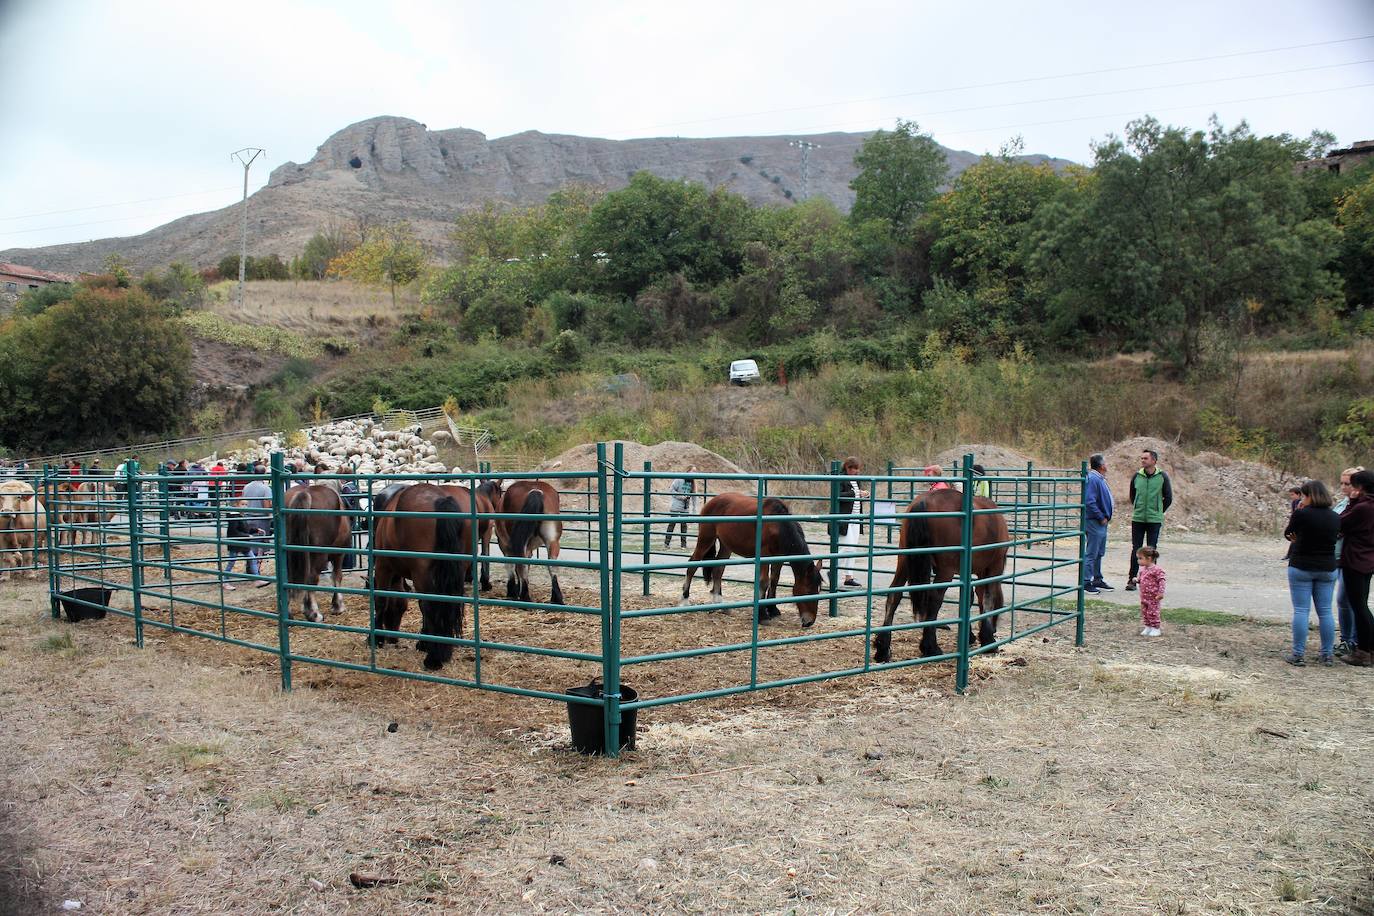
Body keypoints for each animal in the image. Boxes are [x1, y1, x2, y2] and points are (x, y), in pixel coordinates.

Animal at [278, 486, 351, 623]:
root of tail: (304, 493)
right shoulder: (339, 554)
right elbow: (337, 576)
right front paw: (337, 606)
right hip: (318, 555)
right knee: (312, 577)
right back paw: (314, 614)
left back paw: (289, 613)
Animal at [480, 480, 566, 609]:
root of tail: (535, 491)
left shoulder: (505, 545)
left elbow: (511, 567)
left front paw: (512, 591)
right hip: (552, 541)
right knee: (551, 566)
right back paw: (556, 599)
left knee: (521, 565)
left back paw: (525, 597)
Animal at [678, 494, 818, 631]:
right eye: (808, 590)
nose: (809, 622)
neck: (777, 525)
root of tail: (712, 501)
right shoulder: (764, 555)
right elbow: (764, 582)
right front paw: (762, 616)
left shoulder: (778, 557)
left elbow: (774, 581)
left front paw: (773, 610)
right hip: (706, 539)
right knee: (692, 565)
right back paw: (685, 599)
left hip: (726, 545)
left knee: (718, 570)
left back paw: (719, 602)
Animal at [873, 491, 1016, 661]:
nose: (994, 629)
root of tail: (924, 501)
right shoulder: (994, 567)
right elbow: (988, 598)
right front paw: (988, 640)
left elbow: (969, 598)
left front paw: (970, 636)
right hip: (945, 570)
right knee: (934, 599)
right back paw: (930, 647)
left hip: (904, 561)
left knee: (894, 595)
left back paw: (883, 648)